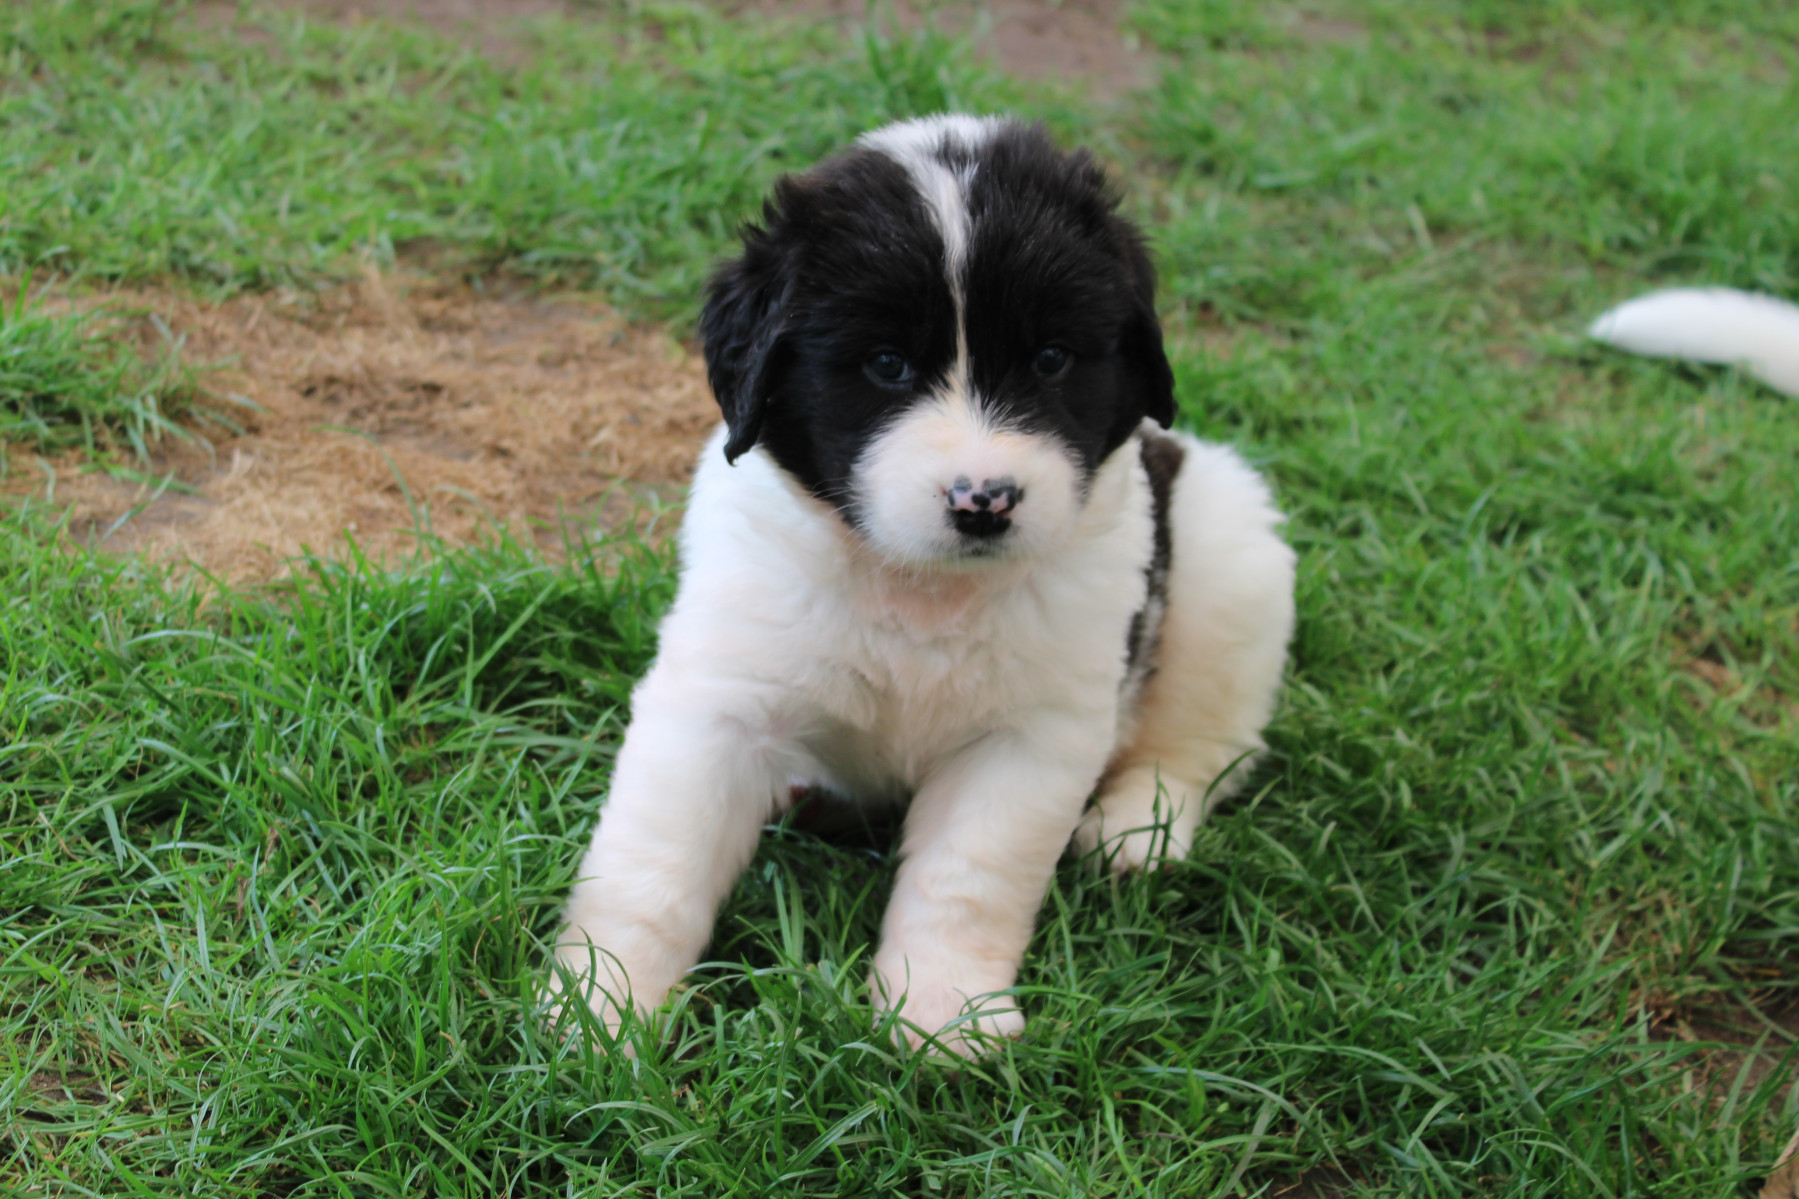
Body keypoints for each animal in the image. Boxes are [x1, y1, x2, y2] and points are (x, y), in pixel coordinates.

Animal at [553, 114, 1296, 1055]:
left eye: (1051, 358)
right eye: (885, 365)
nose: (985, 500)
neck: (922, 589)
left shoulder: (1030, 737)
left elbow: (967, 875)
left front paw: (944, 1016)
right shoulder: (720, 695)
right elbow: (654, 862)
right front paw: (602, 1010)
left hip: (1230, 557)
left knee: (1202, 742)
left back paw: (1138, 828)